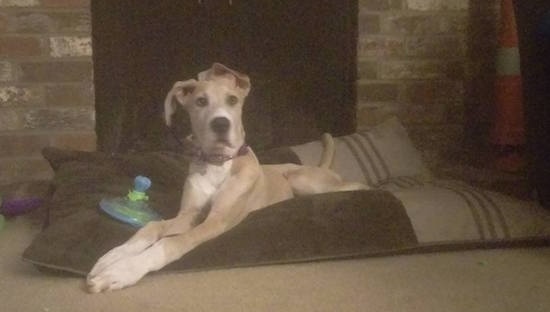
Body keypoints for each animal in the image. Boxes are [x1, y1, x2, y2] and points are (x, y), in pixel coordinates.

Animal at [86, 62, 368, 292]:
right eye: (200, 102)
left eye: (232, 100)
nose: (221, 124)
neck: (218, 163)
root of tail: (321, 167)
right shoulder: (189, 214)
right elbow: (152, 227)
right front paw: (113, 257)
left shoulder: (216, 220)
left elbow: (172, 243)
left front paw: (122, 271)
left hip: (304, 180)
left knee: (352, 185)